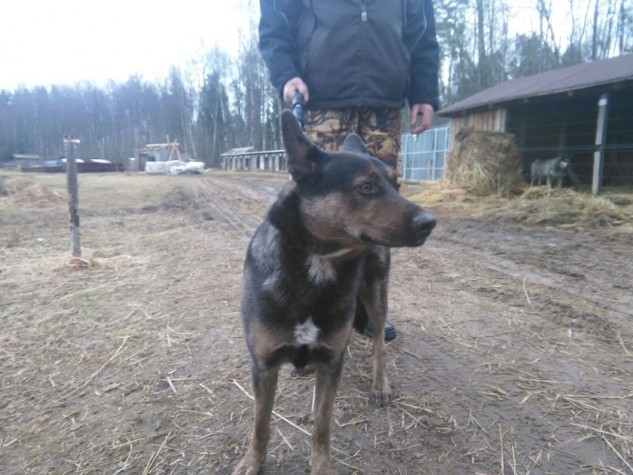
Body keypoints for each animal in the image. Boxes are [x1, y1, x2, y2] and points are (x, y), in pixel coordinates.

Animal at [232, 110, 436, 475]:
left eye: (396, 185)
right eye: (367, 187)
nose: (430, 222)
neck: (318, 264)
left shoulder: (331, 362)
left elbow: (322, 426)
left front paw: (321, 463)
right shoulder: (263, 366)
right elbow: (261, 424)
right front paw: (252, 461)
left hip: (376, 294)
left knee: (379, 342)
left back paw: (380, 384)